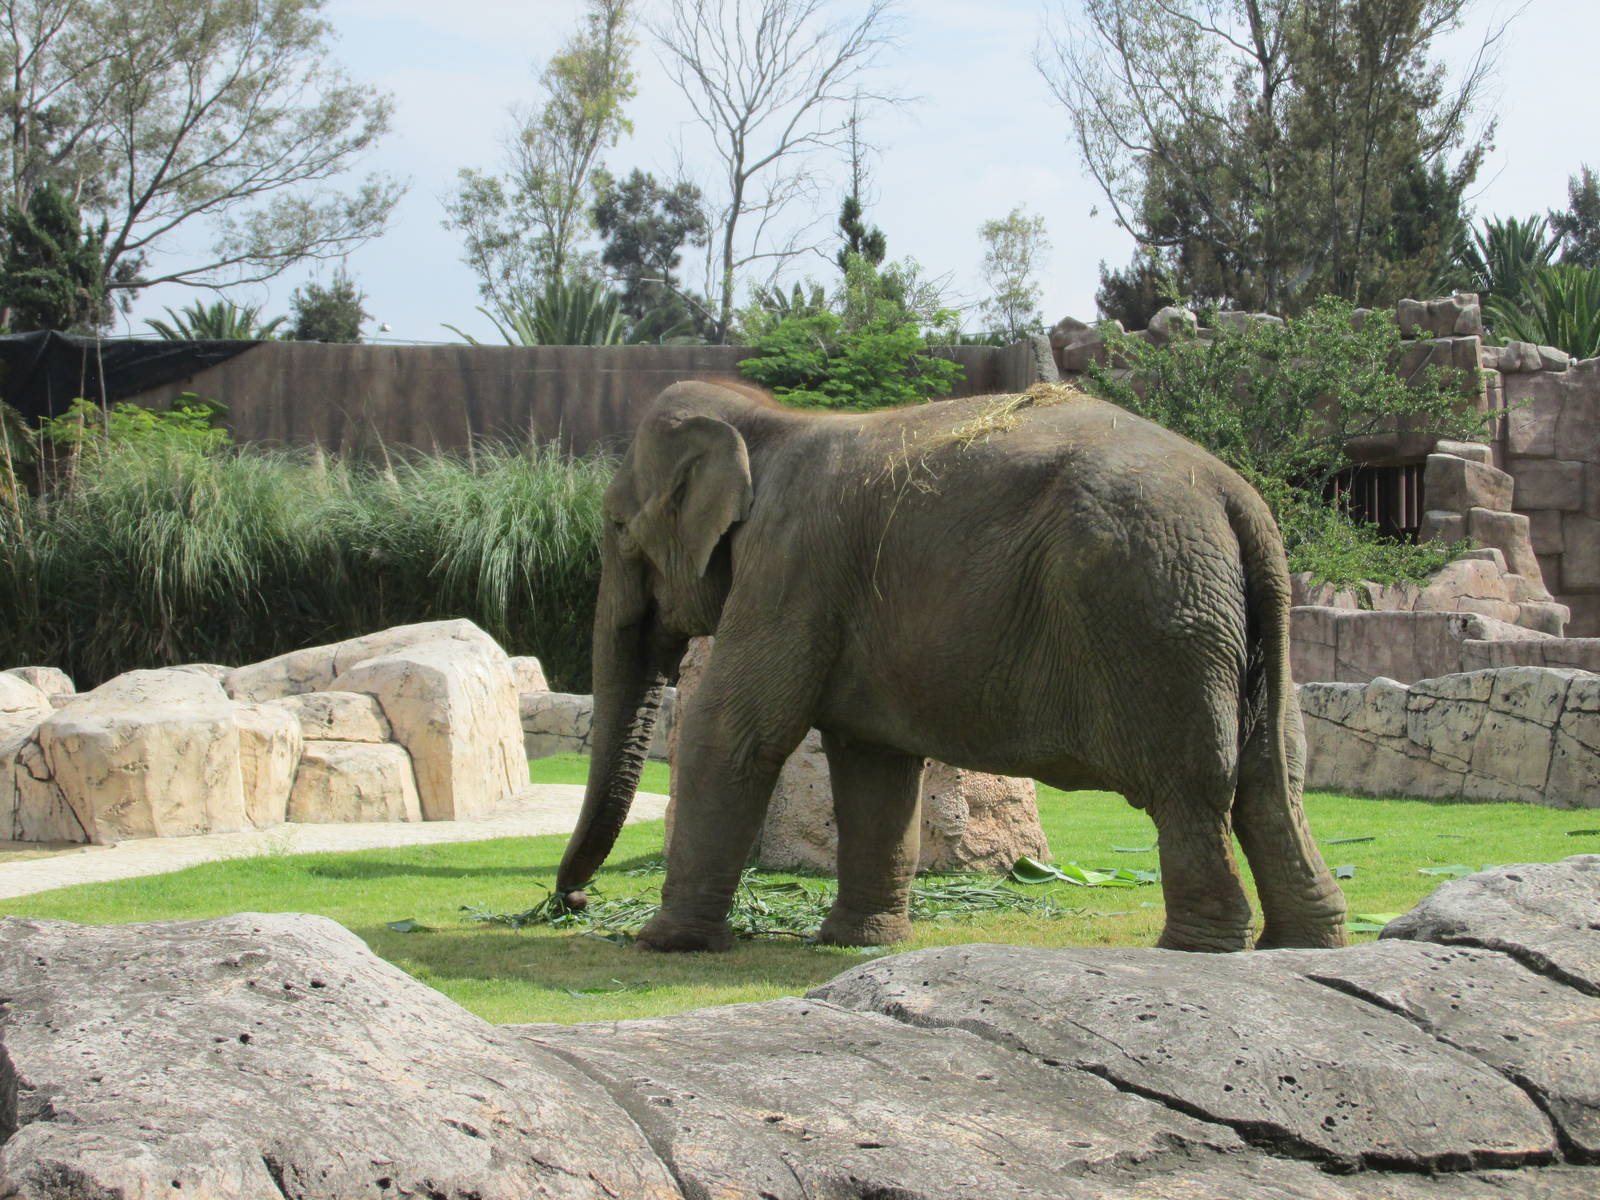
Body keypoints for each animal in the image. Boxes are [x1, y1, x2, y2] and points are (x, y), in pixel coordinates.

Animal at [555, 378, 1349, 954]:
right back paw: (1303, 945)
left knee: (1190, 788)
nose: (571, 901)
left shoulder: (790, 570)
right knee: (1274, 779)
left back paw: (1197, 952)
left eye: (617, 526)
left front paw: (661, 944)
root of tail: (1237, 499)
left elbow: (736, 732)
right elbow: (873, 763)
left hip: (1153, 609)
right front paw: (856, 943)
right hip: (1239, 626)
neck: (769, 420)